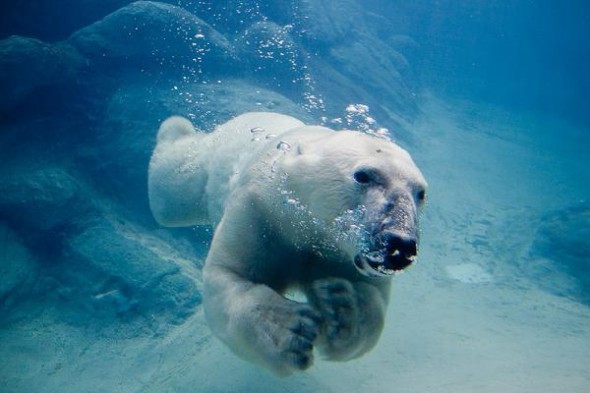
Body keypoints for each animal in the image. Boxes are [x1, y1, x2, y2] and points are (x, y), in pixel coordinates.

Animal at [147, 112, 426, 376]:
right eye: (362, 176)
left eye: (421, 193)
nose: (400, 245)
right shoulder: (260, 211)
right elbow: (229, 275)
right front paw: (291, 330)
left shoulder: (343, 256)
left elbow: (371, 299)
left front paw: (343, 306)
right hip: (211, 160)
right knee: (172, 191)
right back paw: (175, 127)